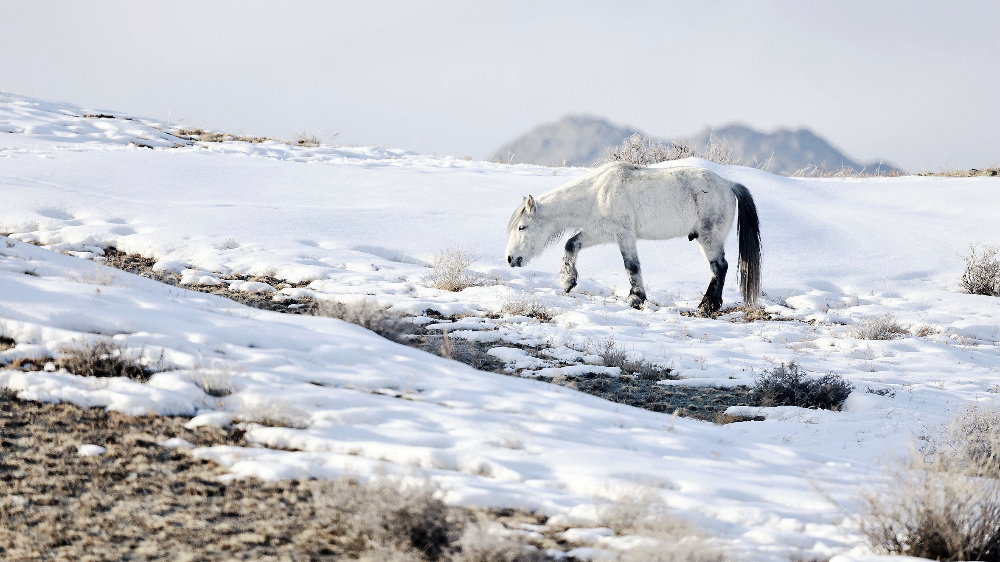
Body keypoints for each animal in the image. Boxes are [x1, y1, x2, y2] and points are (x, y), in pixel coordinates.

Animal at [504, 162, 760, 312]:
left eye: (522, 227)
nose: (510, 259)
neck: (597, 193)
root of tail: (728, 184)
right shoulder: (599, 233)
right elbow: (571, 244)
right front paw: (568, 281)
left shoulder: (624, 234)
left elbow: (631, 266)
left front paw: (635, 298)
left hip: (709, 237)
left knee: (719, 267)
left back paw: (708, 306)